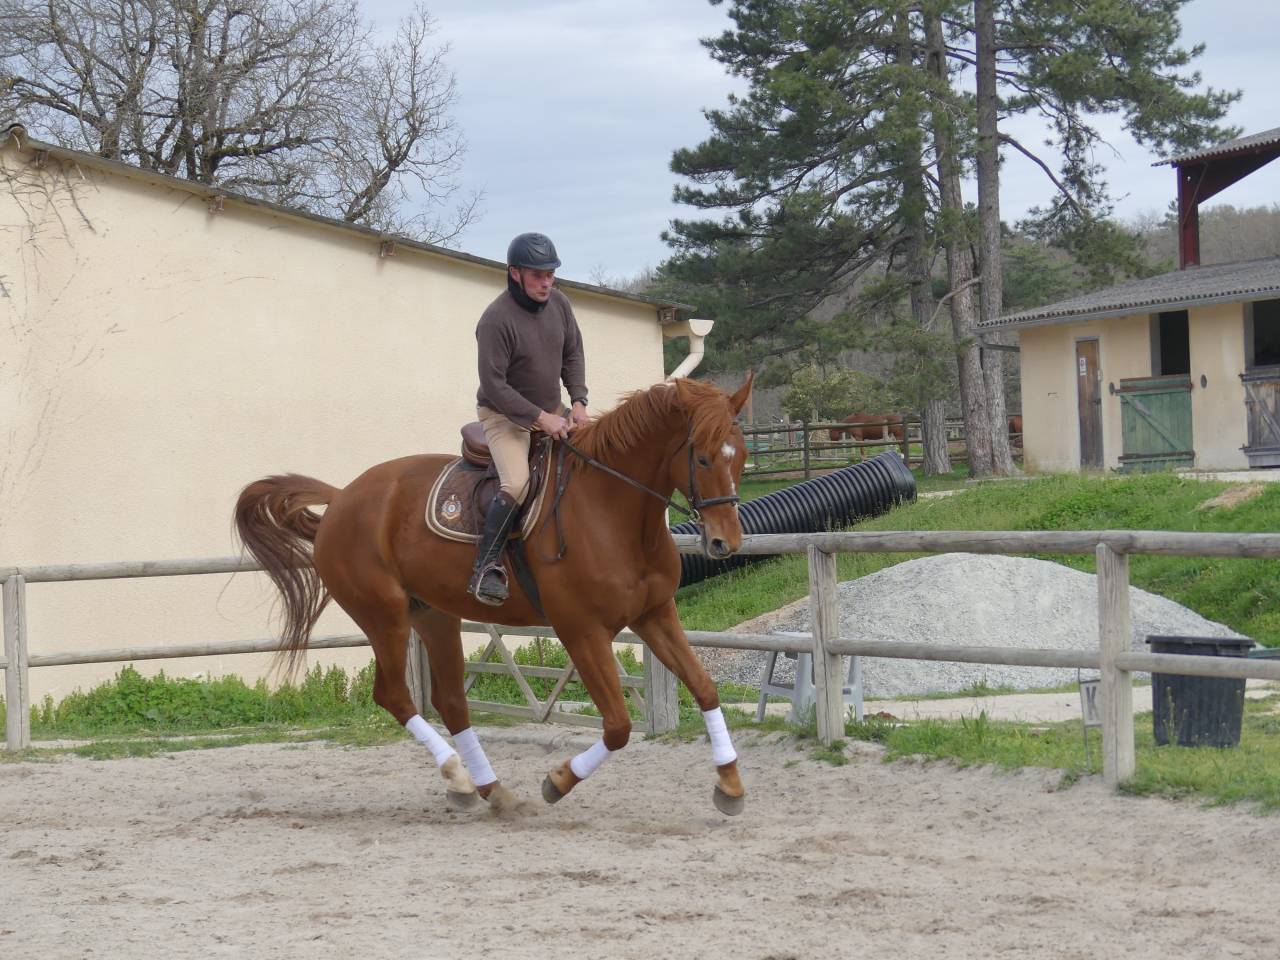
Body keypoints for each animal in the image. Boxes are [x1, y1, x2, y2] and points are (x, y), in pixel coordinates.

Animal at [234, 375, 753, 816]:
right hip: (386, 618)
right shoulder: (582, 631)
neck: (614, 513)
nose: (724, 543)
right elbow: (619, 726)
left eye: (742, 455)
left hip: (434, 617)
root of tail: (343, 497)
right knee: (395, 695)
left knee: (450, 702)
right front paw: (557, 781)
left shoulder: (655, 615)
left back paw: (489, 789)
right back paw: (459, 776)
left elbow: (705, 688)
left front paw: (729, 784)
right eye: (702, 458)